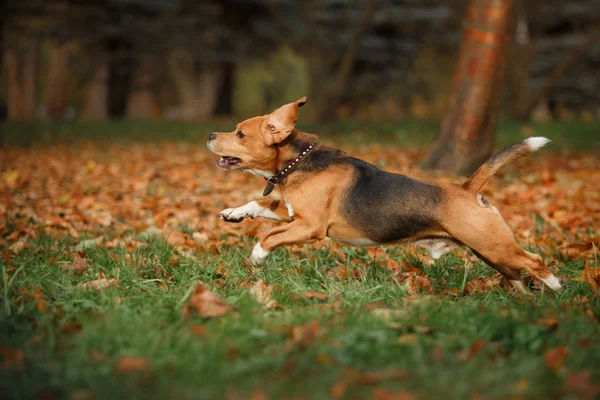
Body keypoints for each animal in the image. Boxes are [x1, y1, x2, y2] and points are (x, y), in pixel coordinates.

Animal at [207, 97, 564, 294]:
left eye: (240, 133)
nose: (210, 135)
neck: (299, 161)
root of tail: (467, 187)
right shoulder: (294, 213)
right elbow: (263, 204)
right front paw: (235, 213)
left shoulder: (309, 227)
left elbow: (270, 235)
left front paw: (258, 255)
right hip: (488, 252)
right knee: (518, 275)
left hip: (493, 245)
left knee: (535, 262)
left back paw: (559, 292)